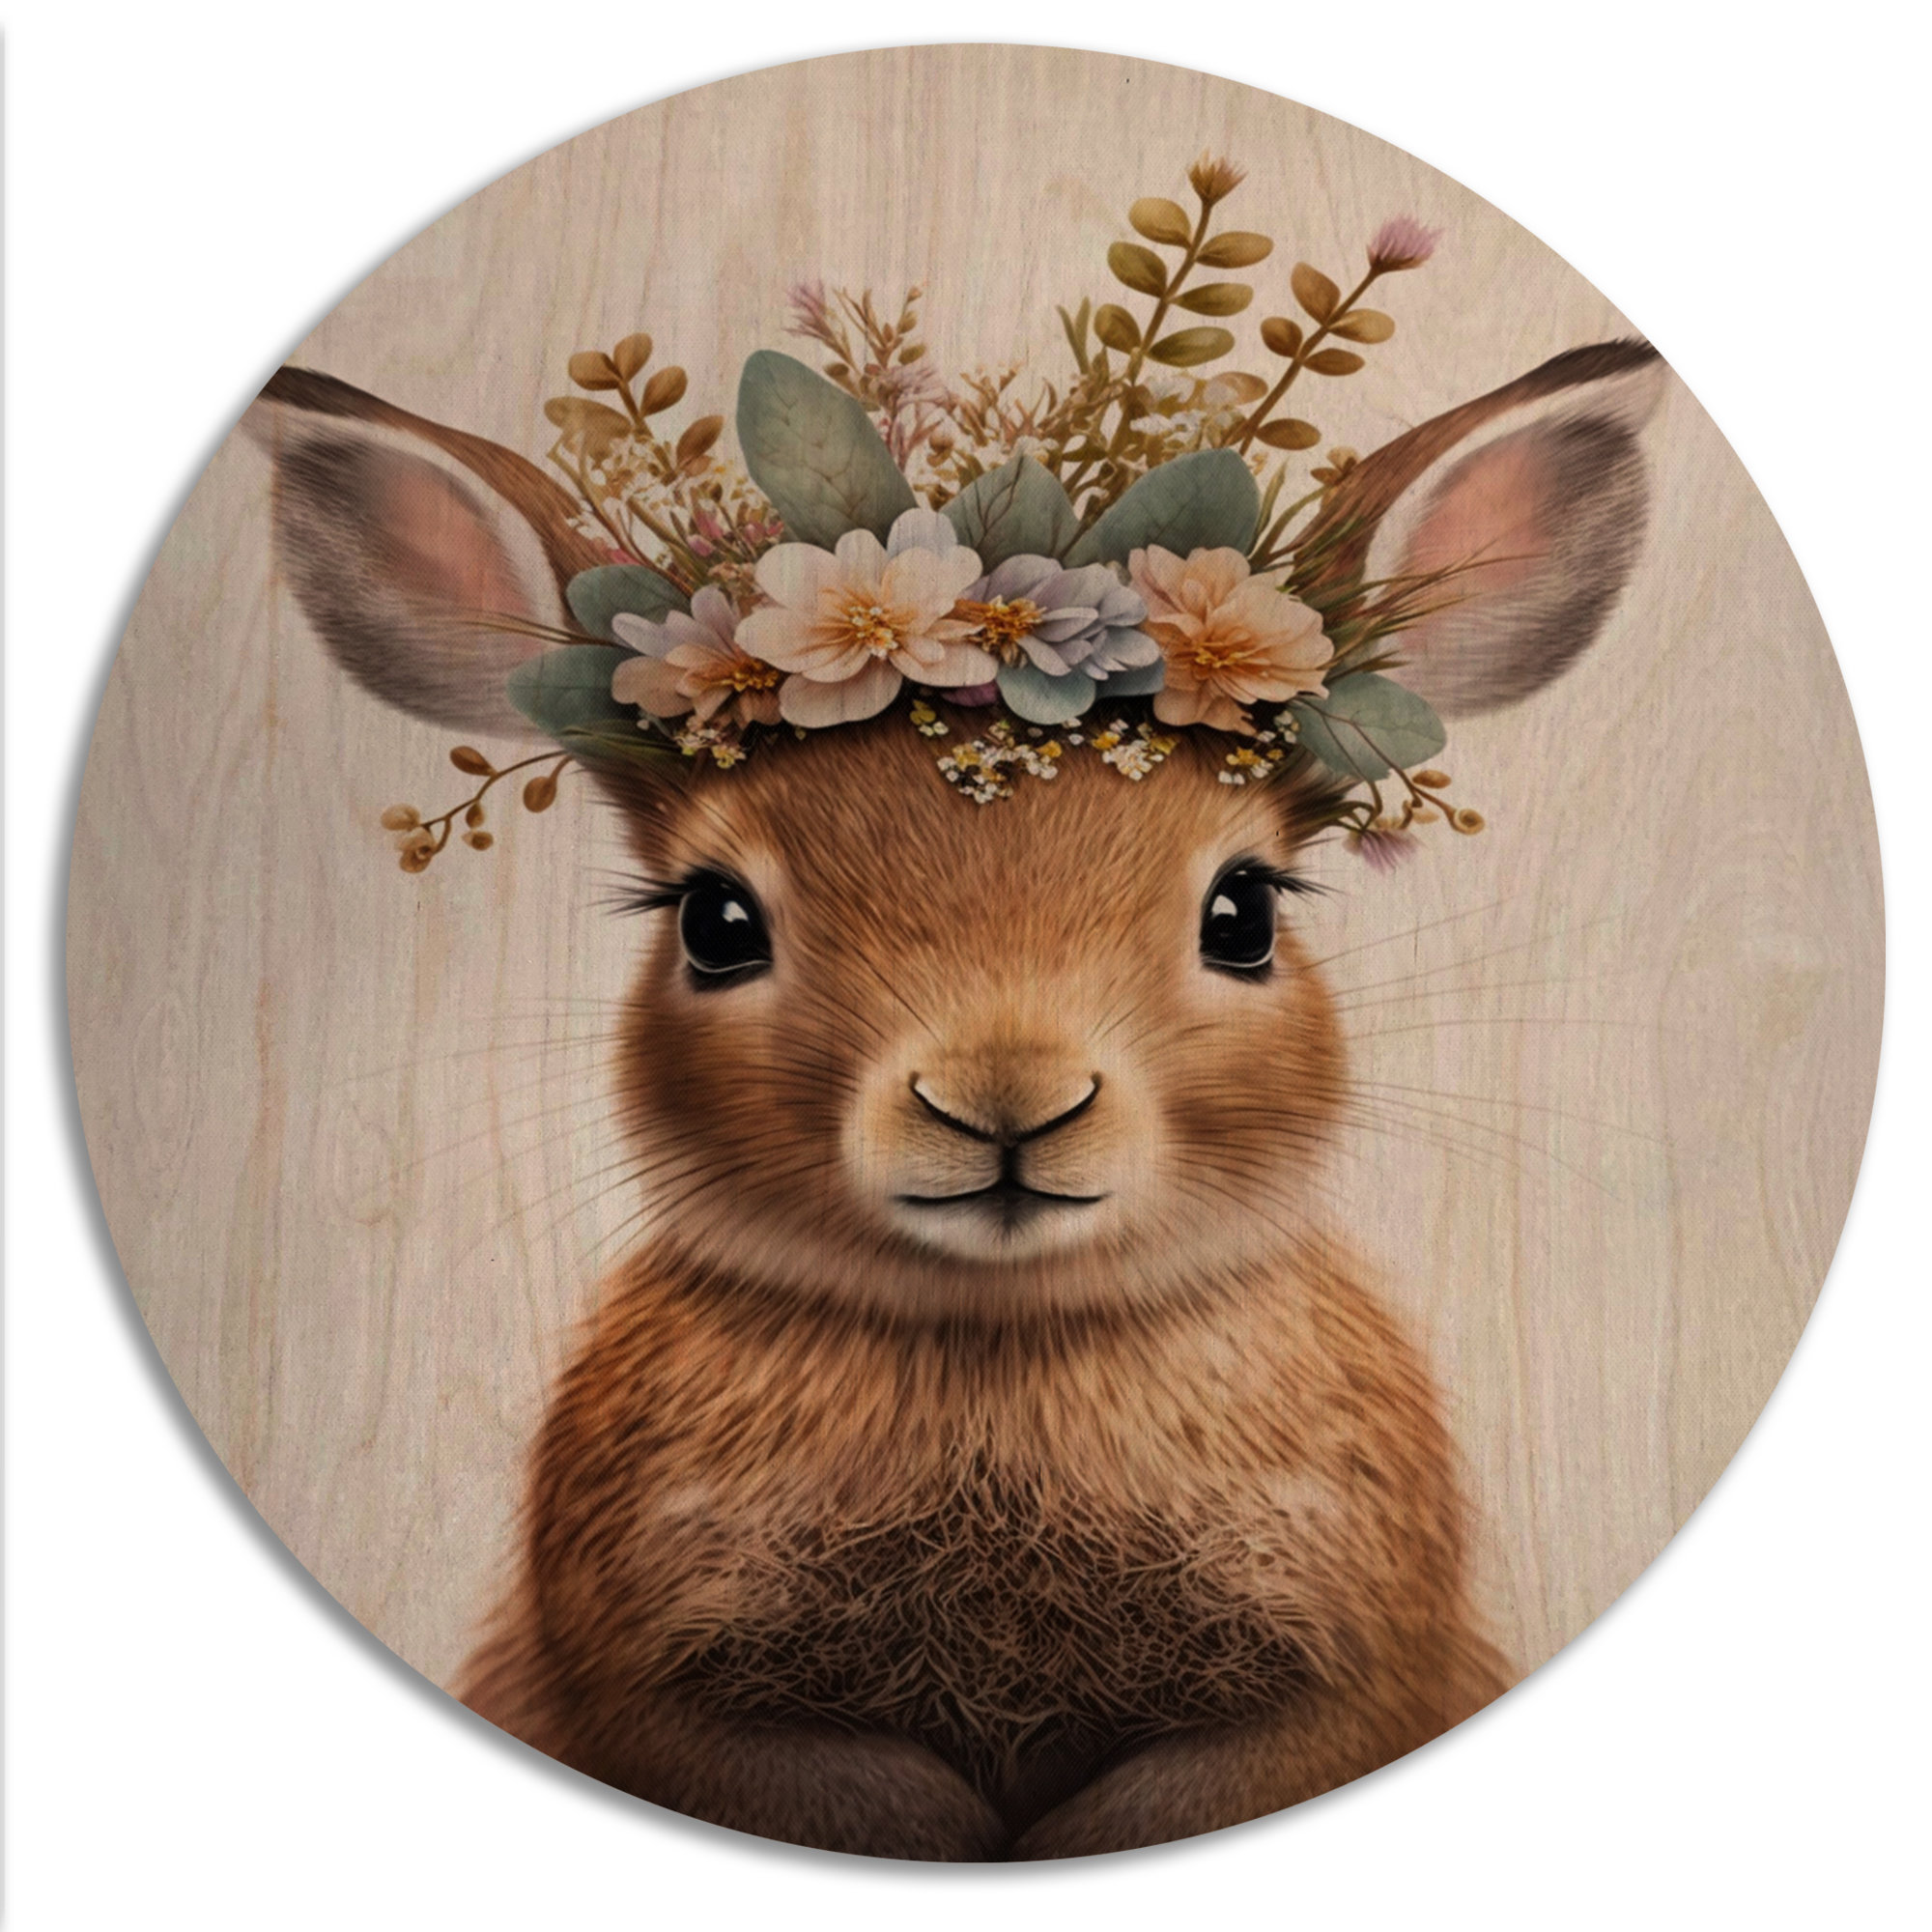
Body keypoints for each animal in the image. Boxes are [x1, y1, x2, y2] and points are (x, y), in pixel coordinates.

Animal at [242, 334, 1665, 1859]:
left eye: (1244, 914)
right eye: (714, 924)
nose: (1004, 1099)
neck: (995, 1333)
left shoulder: (1319, 1689)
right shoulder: (691, 1703)